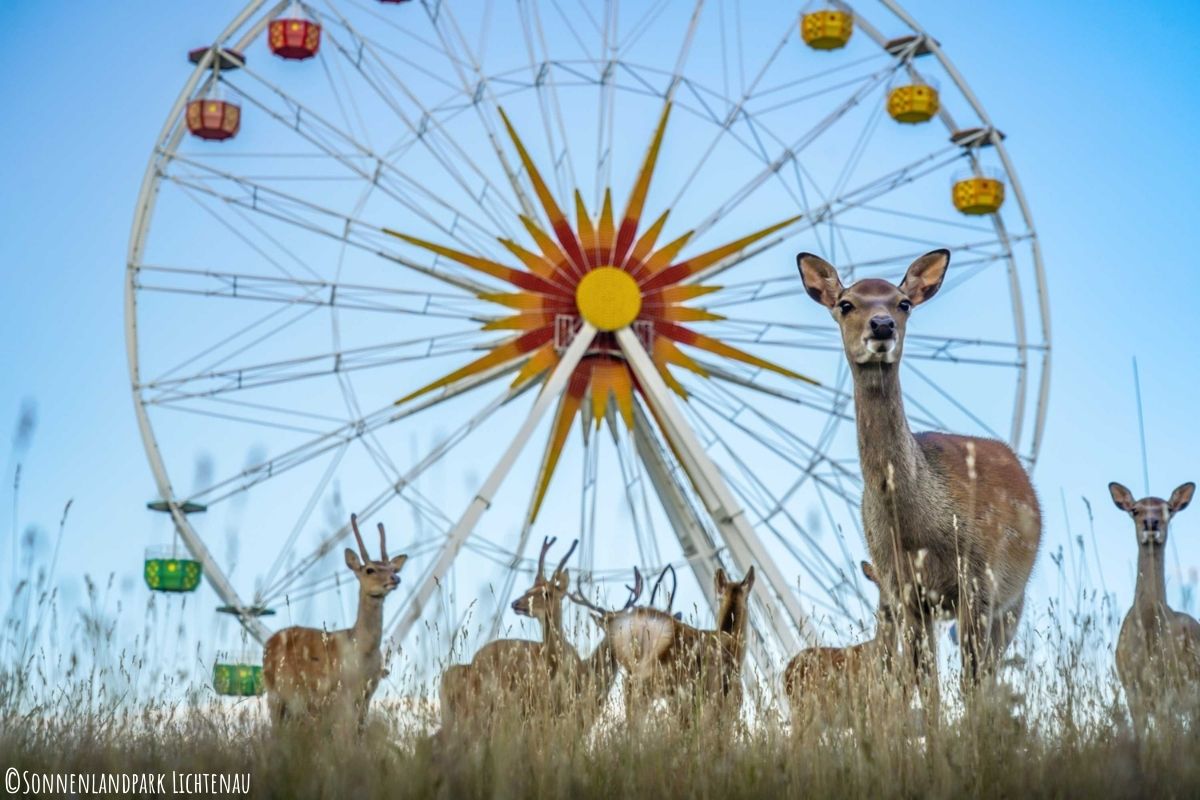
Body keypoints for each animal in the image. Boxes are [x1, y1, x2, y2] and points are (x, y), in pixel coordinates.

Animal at [262, 513, 408, 734]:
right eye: (369, 570)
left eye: (392, 567)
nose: (395, 578)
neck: (362, 652)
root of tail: (269, 642)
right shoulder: (341, 693)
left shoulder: (367, 693)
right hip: (275, 694)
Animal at [801, 248, 1046, 705]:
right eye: (846, 304)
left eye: (904, 303)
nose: (882, 325)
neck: (918, 531)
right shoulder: (906, 593)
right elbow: (926, 684)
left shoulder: (978, 583)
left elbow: (967, 684)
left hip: (1013, 599)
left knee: (989, 673)